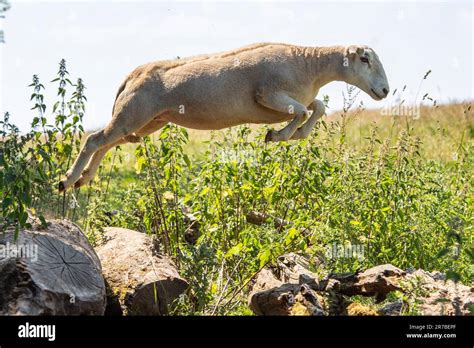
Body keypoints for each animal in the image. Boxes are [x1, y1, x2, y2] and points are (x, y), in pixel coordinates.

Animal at [58, 42, 388, 193]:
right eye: (364, 59)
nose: (385, 90)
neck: (309, 66)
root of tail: (133, 74)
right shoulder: (268, 95)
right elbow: (304, 110)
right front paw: (279, 135)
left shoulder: (285, 101)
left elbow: (316, 107)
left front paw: (291, 134)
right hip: (134, 114)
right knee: (94, 140)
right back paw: (67, 180)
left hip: (146, 122)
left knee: (106, 142)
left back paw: (83, 179)